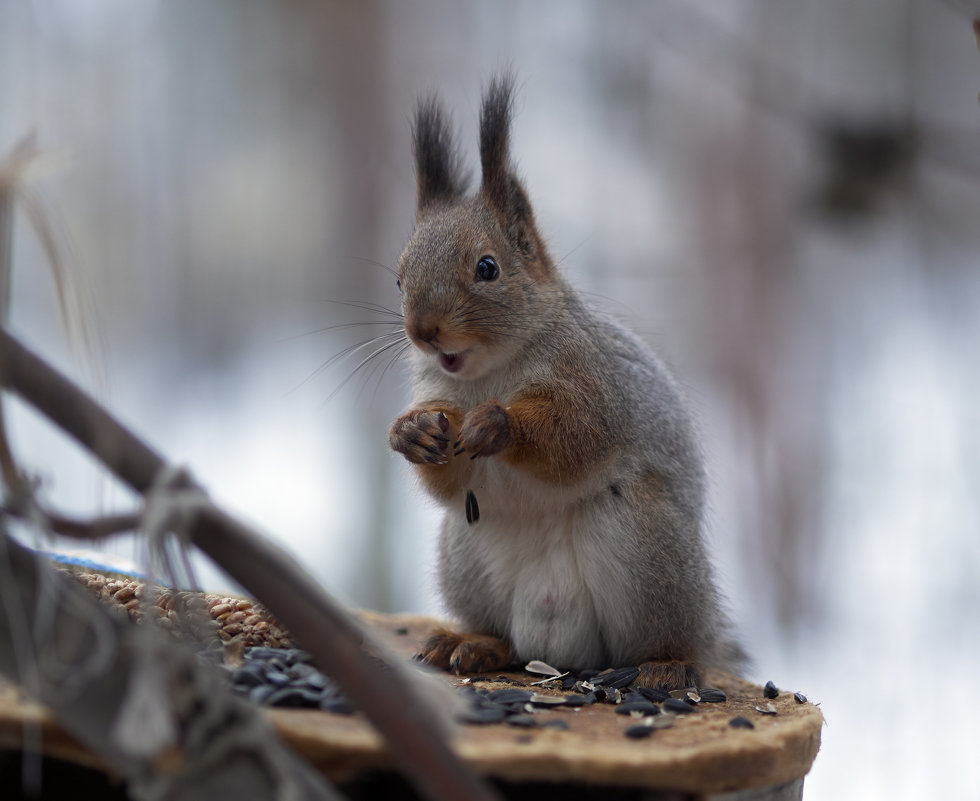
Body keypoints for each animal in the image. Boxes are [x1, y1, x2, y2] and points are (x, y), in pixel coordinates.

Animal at [386, 75, 740, 688]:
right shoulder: (438, 393)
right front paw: (412, 434)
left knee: (664, 640)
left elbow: (576, 437)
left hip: (646, 546)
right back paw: (474, 645)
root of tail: (558, 645)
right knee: (502, 633)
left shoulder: (595, 384)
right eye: (401, 276)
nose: (423, 331)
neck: (489, 373)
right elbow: (444, 483)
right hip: (465, 555)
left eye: (488, 268)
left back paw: (668, 665)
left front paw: (499, 424)